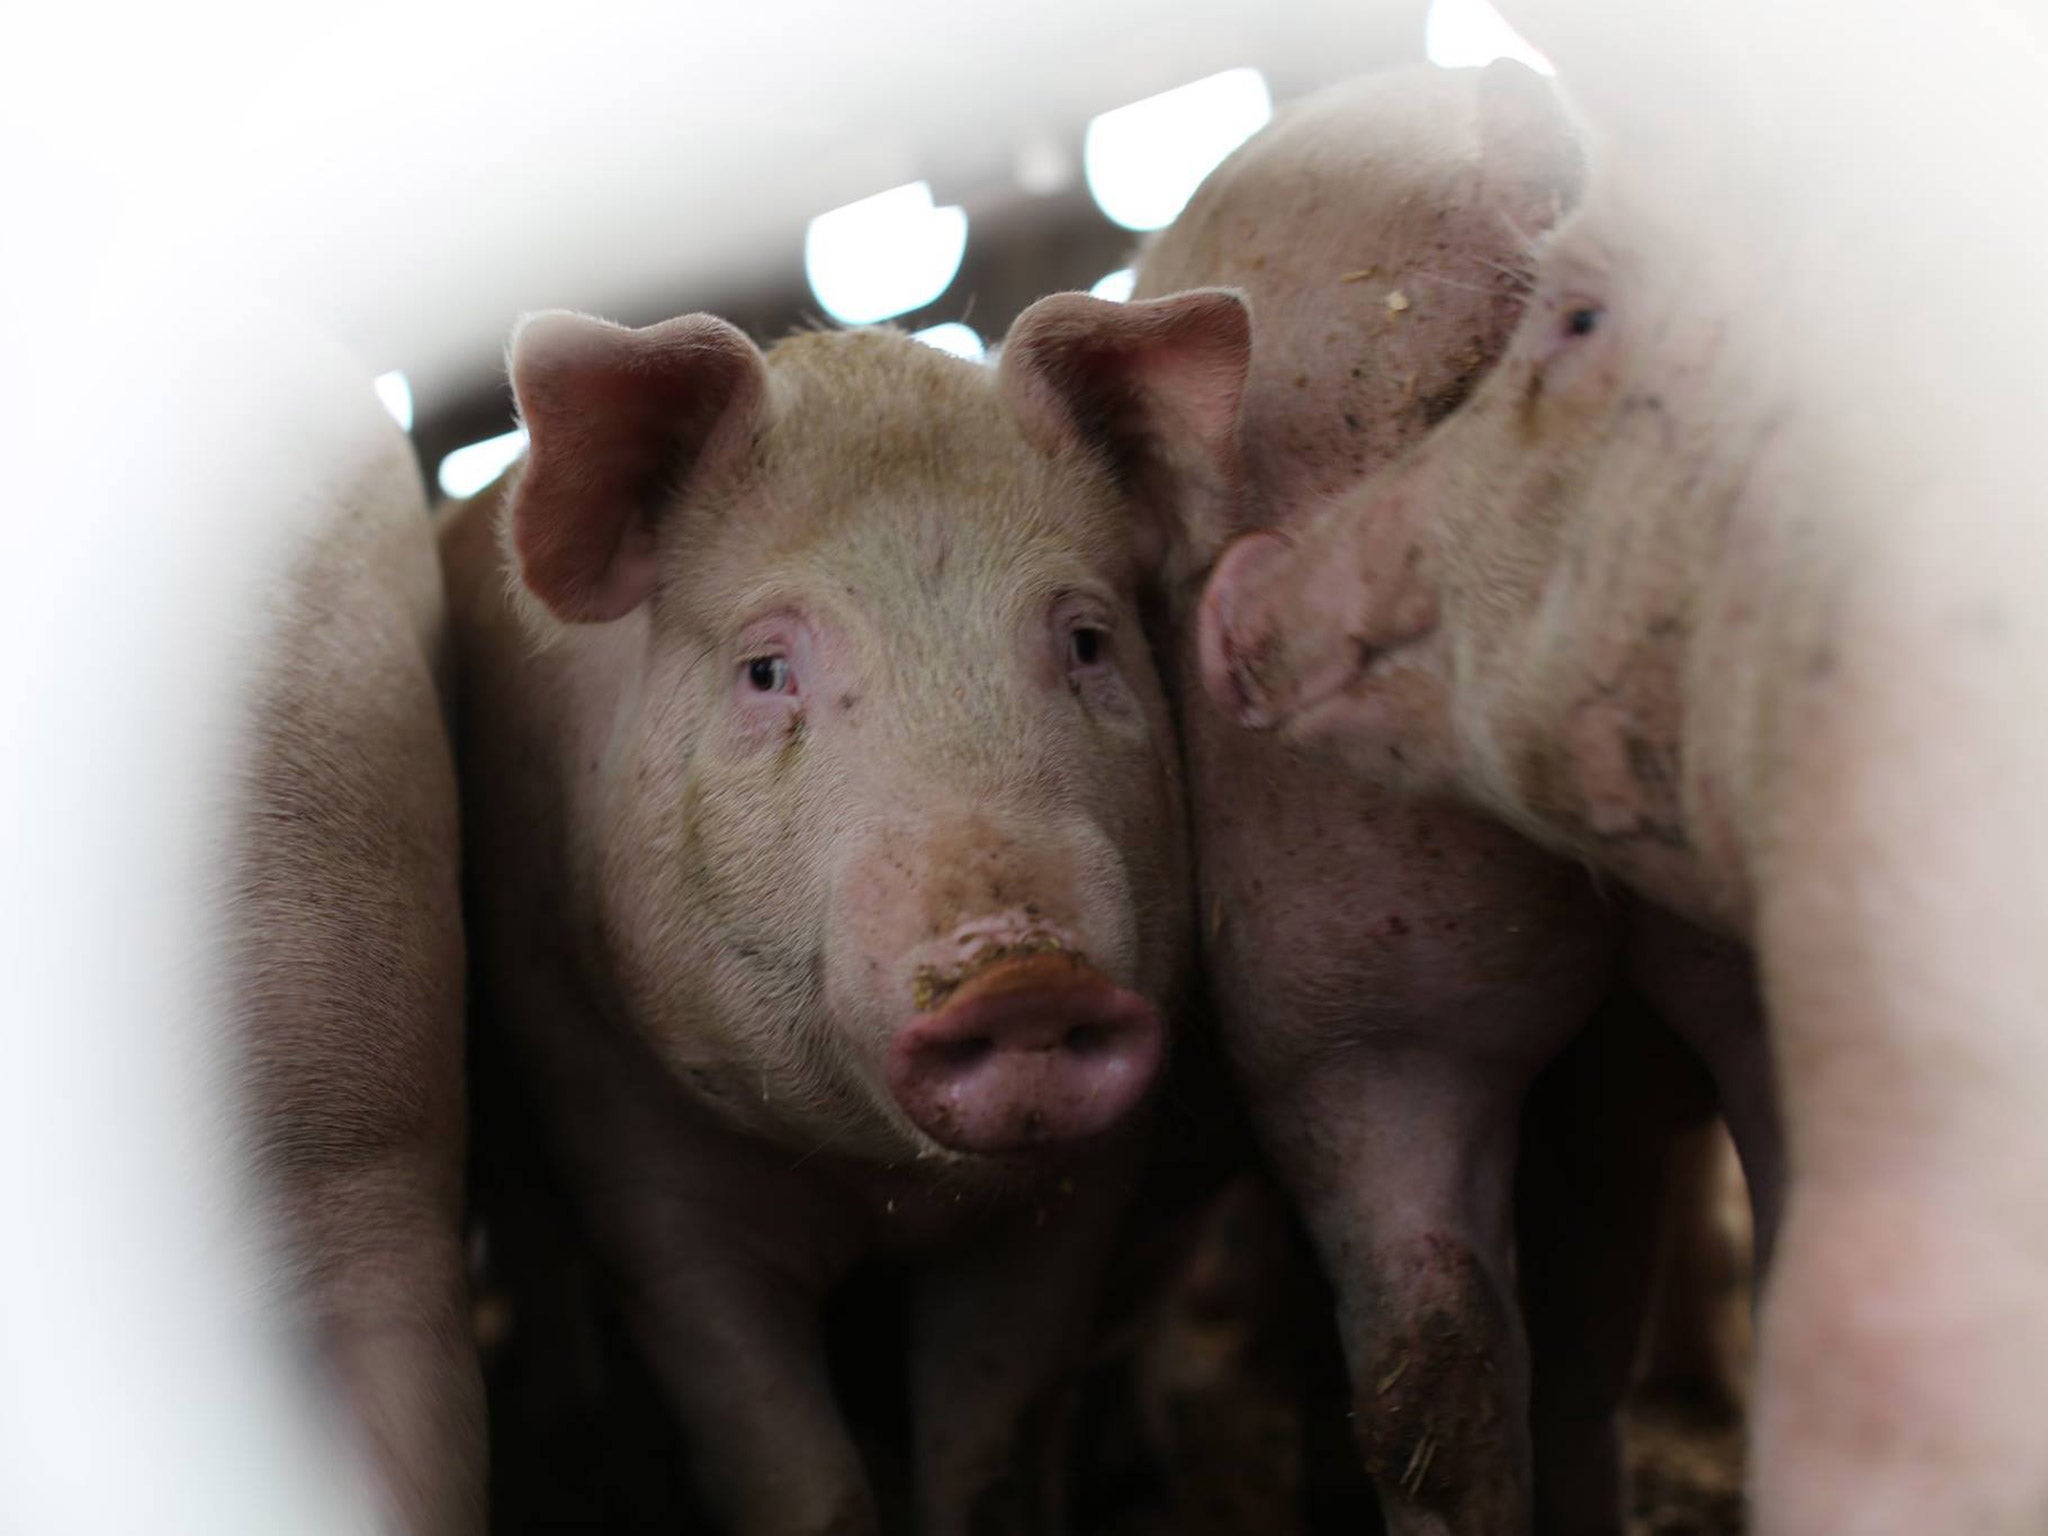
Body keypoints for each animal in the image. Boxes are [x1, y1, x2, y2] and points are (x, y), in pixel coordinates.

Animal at [440, 296, 1253, 1536]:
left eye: (1085, 641)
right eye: (765, 669)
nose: (1024, 977)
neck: (880, 1187)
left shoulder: (1067, 1202)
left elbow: (986, 1455)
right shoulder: (643, 1177)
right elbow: (797, 1479)